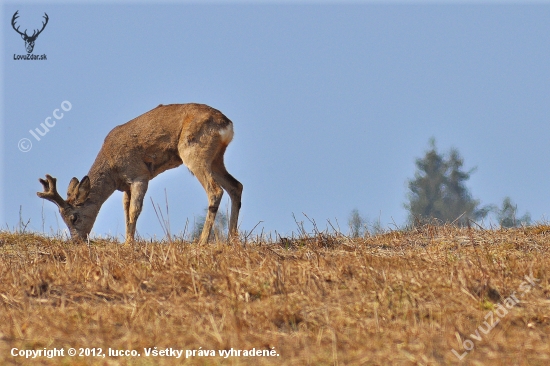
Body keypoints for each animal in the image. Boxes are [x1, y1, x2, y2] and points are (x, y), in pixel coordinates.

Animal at [36, 103, 244, 244]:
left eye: (74, 217)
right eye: (63, 218)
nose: (77, 241)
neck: (112, 168)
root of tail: (226, 124)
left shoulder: (139, 176)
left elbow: (135, 210)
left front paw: (129, 244)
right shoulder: (126, 187)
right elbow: (126, 211)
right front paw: (128, 241)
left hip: (194, 154)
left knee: (215, 190)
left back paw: (201, 241)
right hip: (216, 159)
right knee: (236, 186)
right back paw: (232, 239)